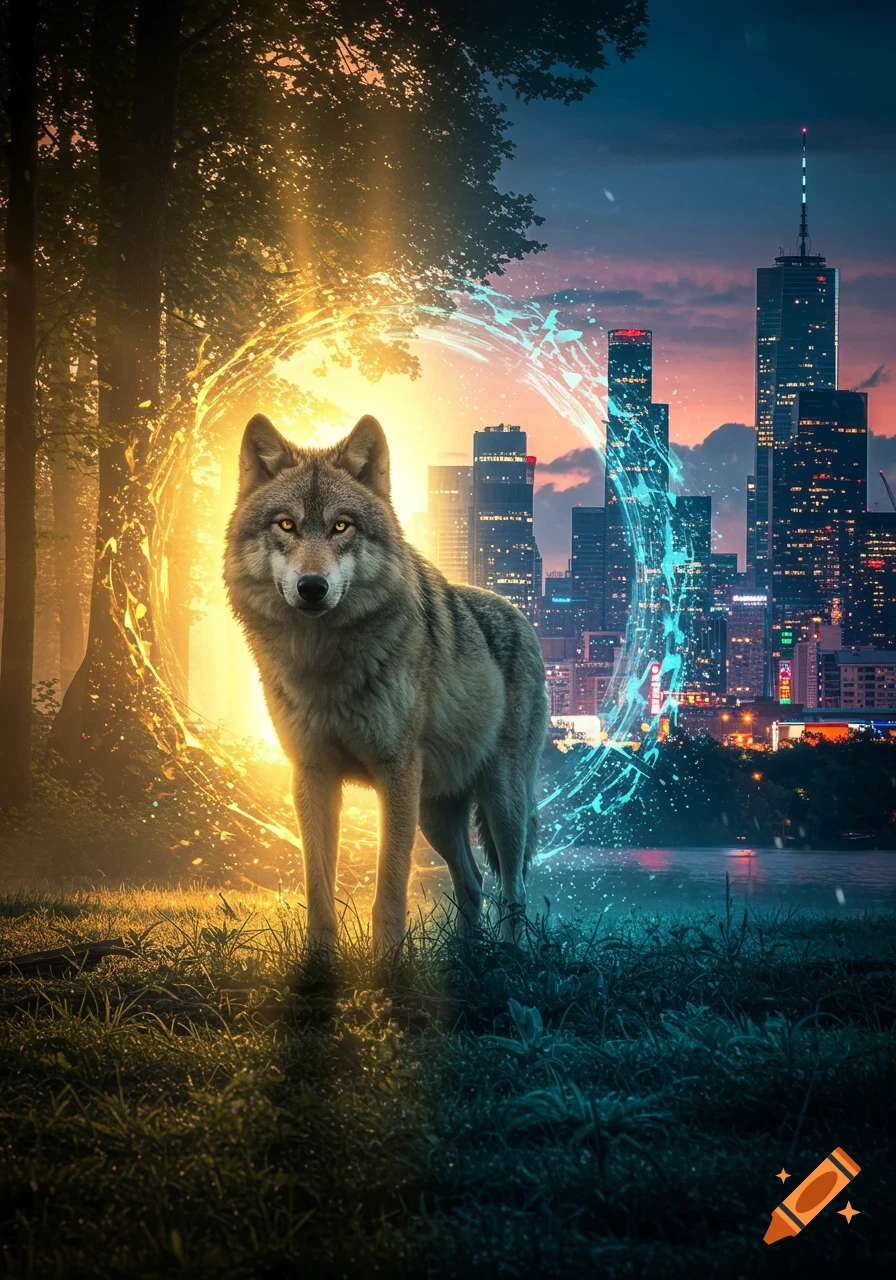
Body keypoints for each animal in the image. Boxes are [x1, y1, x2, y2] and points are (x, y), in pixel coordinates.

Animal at [224, 413, 549, 952]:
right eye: (286, 524)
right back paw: (466, 958)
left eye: (341, 525)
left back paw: (508, 956)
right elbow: (318, 886)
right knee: (473, 882)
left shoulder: (395, 773)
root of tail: (519, 613)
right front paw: (319, 961)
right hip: (437, 813)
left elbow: (391, 888)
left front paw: (388, 962)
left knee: (513, 886)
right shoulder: (311, 773)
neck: (325, 668)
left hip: (500, 799)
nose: (312, 587)